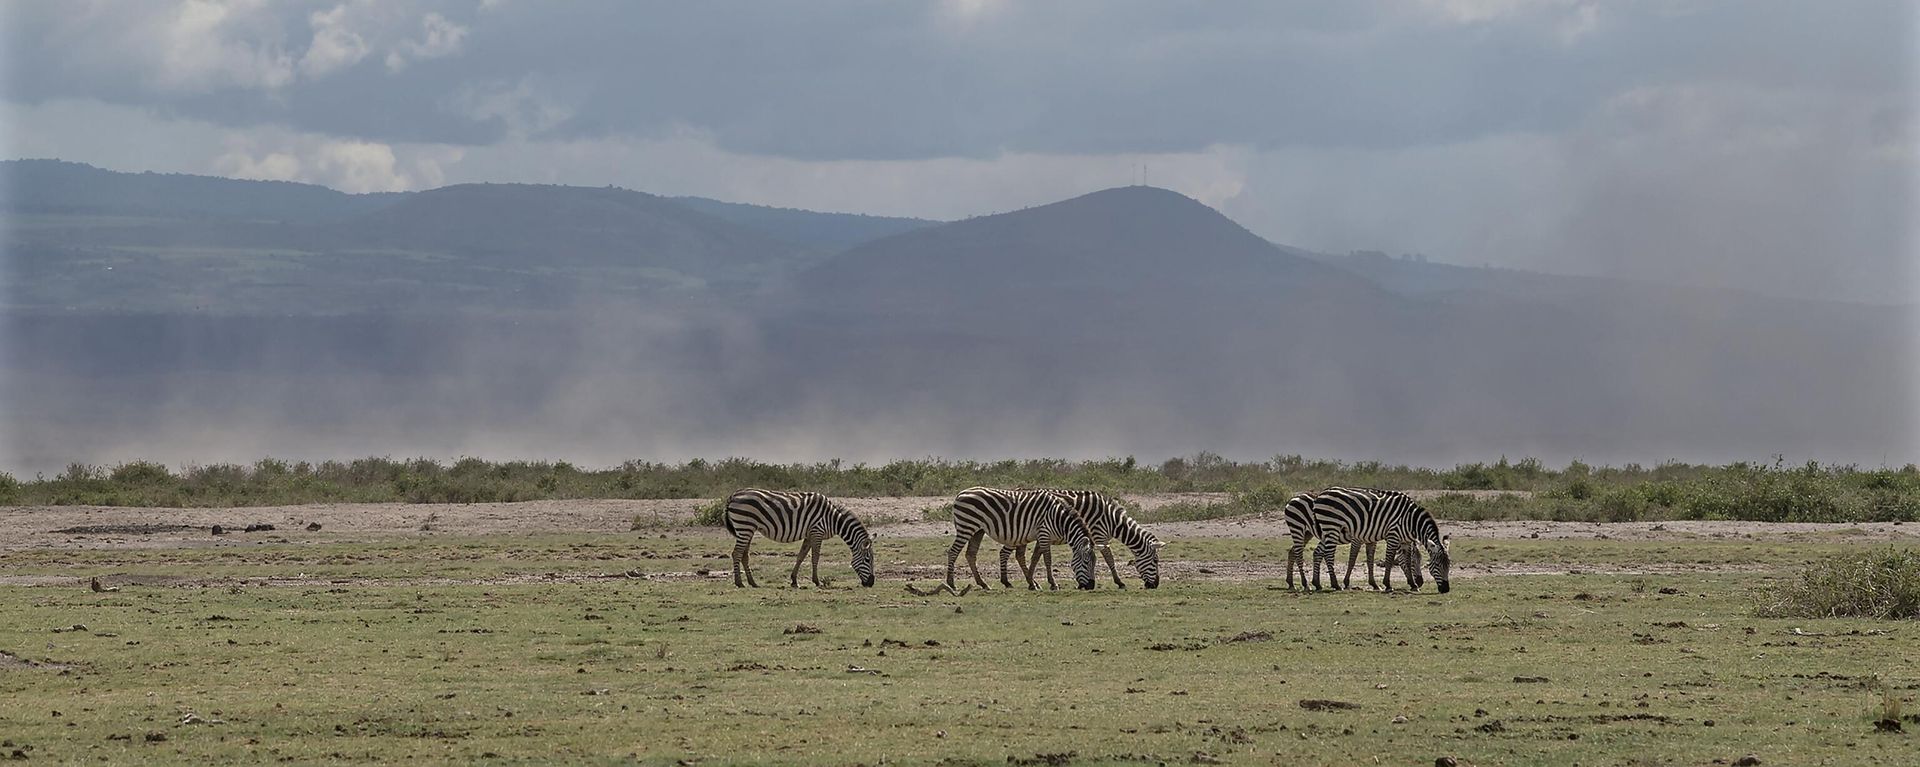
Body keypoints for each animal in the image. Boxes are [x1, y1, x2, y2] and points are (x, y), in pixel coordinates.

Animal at [723, 488, 875, 588]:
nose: (871, 583)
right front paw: (817, 581)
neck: (833, 519)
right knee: (736, 553)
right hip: (745, 526)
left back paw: (753, 583)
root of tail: (734, 495)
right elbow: (815, 557)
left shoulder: (809, 534)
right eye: (868, 560)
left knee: (744, 555)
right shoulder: (817, 531)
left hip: (749, 529)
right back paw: (739, 583)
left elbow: (801, 556)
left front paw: (794, 581)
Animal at [946, 487, 1096, 591]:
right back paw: (951, 584)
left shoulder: (1040, 536)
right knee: (953, 552)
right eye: (1086, 562)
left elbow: (1034, 558)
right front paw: (1053, 584)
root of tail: (961, 493)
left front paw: (1032, 582)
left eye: (1094, 563)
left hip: (978, 530)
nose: (1091, 586)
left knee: (971, 554)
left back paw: (983, 584)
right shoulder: (1044, 533)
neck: (1058, 519)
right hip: (966, 526)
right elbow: (1047, 559)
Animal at [998, 489, 1164, 589]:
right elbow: (1109, 558)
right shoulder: (1099, 536)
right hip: (1016, 534)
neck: (1112, 520)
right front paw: (1120, 582)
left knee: (1018, 555)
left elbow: (1036, 557)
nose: (1155, 585)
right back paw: (1006, 582)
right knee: (1005, 553)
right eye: (1155, 561)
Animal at [1310, 486, 1451, 593]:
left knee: (1318, 552)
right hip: (1332, 527)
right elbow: (1388, 560)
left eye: (1448, 565)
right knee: (1328, 554)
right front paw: (1387, 585)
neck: (1410, 521)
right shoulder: (1392, 536)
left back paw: (1317, 583)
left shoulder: (1404, 541)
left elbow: (1404, 560)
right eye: (1437, 565)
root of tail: (1321, 494)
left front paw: (1413, 585)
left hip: (1327, 531)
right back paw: (1336, 584)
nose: (1446, 589)